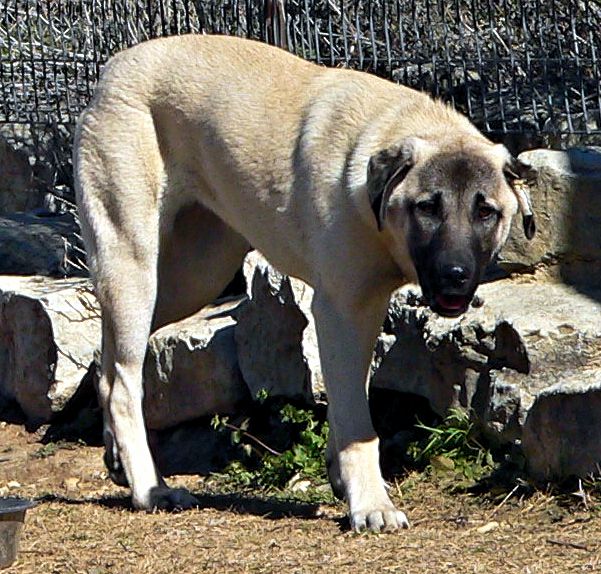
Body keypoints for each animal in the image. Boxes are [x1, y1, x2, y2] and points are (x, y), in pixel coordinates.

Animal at [74, 32, 528, 536]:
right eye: (427, 207)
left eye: (486, 211)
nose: (456, 275)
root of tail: (116, 65)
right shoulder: (342, 313)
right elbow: (357, 423)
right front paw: (370, 502)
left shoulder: (359, 319)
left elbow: (348, 404)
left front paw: (343, 478)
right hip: (133, 263)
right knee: (123, 384)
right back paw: (150, 489)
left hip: (190, 277)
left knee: (108, 361)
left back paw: (117, 458)